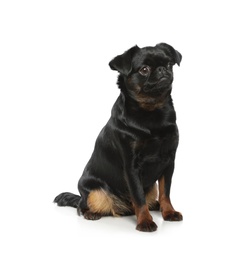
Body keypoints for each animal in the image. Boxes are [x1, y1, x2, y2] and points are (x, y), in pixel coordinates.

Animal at [54, 42, 182, 232]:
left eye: (169, 64)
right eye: (144, 69)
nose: (161, 69)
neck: (151, 110)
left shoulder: (169, 161)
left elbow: (166, 192)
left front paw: (168, 212)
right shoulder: (131, 166)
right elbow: (138, 197)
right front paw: (145, 221)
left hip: (151, 187)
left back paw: (156, 206)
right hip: (93, 191)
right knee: (82, 205)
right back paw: (91, 213)